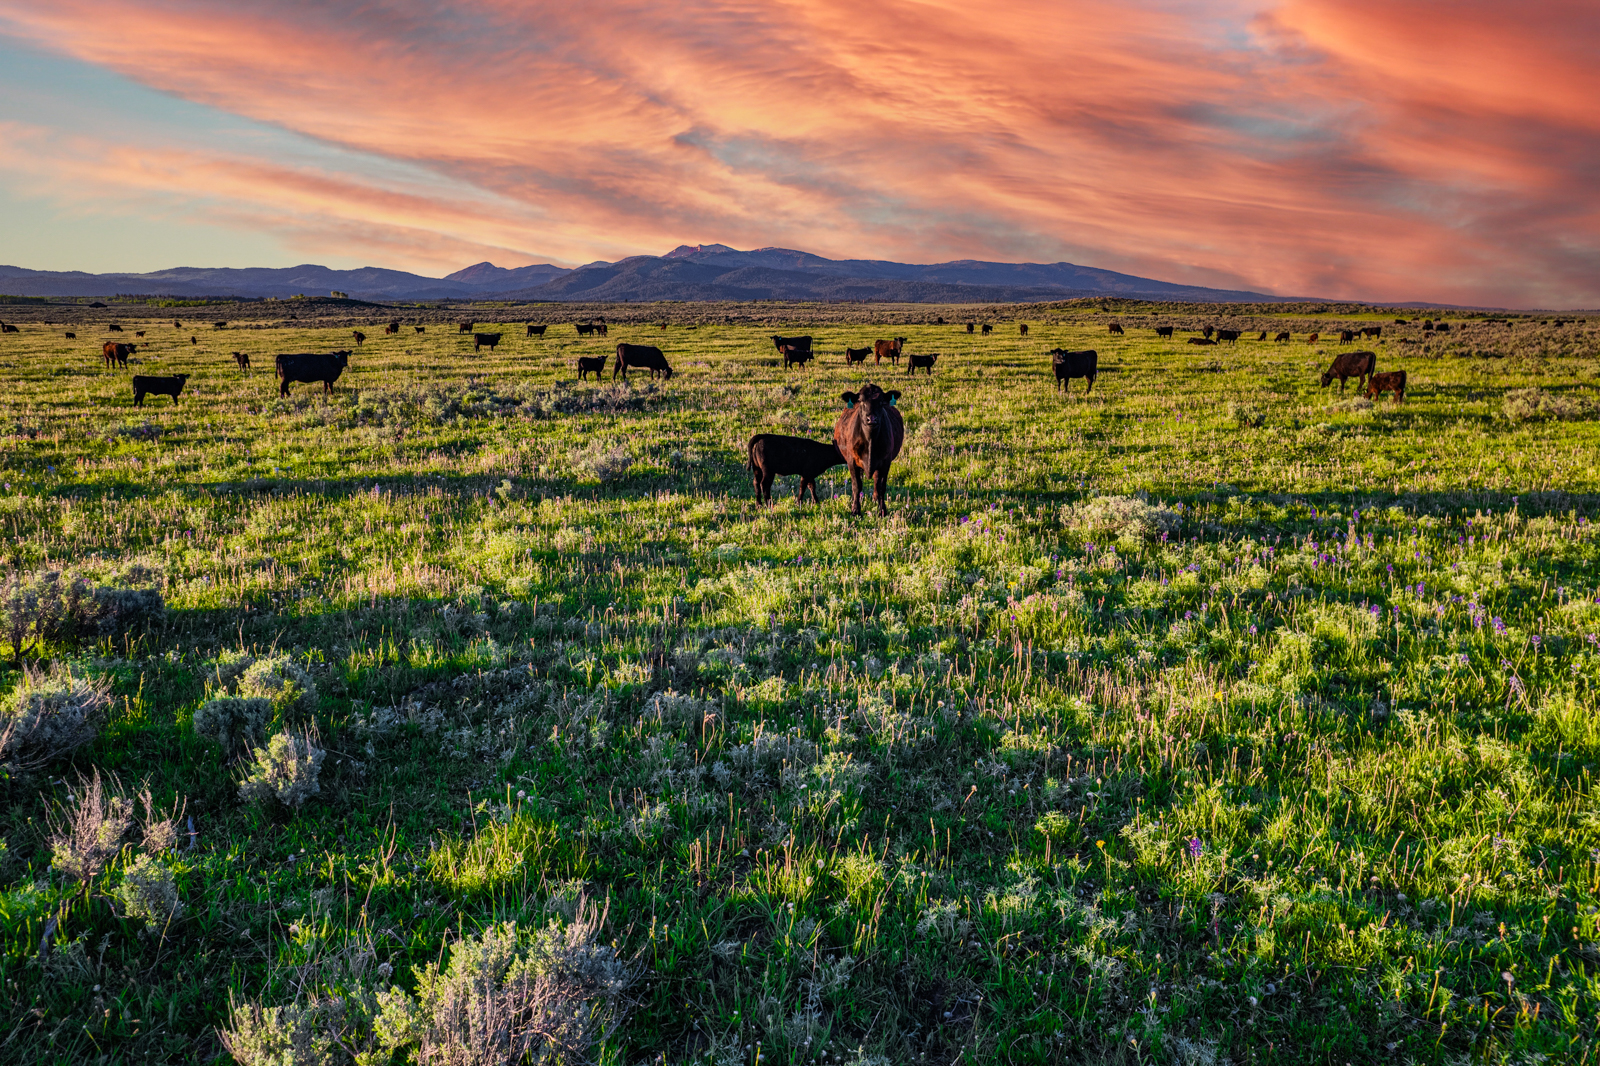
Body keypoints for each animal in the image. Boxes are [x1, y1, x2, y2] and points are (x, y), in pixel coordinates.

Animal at [833, 383, 904, 516]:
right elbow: (856, 485)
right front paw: (855, 510)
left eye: (881, 402)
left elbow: (881, 486)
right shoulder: (852, 461)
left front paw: (882, 510)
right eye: (861, 401)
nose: (872, 419)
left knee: (876, 480)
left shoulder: (885, 462)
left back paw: (875, 499)